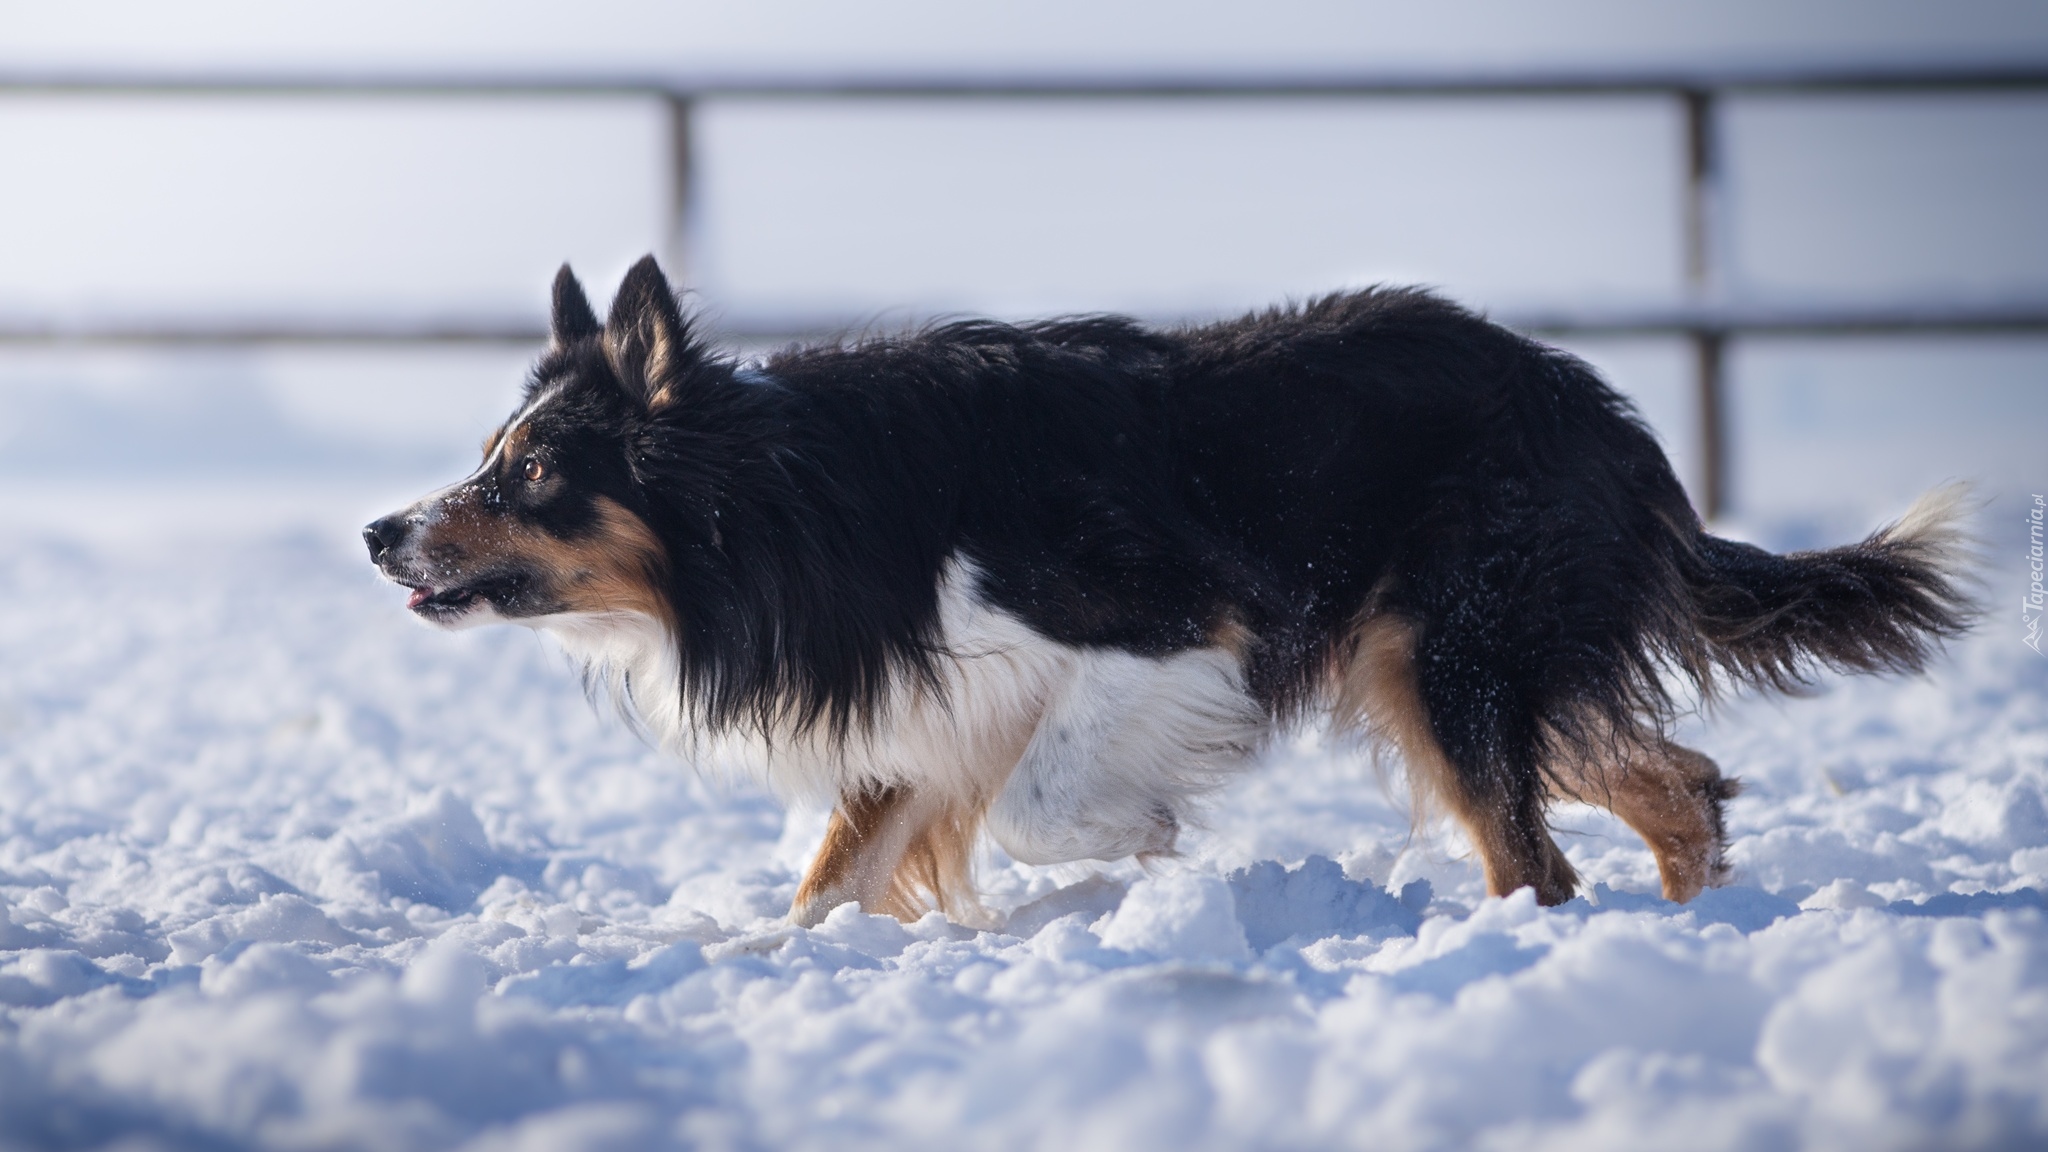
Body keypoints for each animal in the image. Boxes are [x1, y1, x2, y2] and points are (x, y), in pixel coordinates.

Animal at [360, 255, 1974, 918]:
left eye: (525, 473)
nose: (379, 533)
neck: (789, 501)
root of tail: (1611, 418)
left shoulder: (1168, 624)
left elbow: (1037, 806)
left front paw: (1130, 851)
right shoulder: (924, 704)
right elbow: (837, 875)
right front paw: (769, 955)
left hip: (1452, 660)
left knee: (1539, 859)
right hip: (1446, 667)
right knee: (1680, 783)